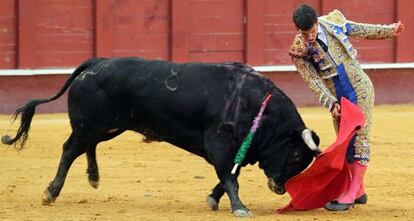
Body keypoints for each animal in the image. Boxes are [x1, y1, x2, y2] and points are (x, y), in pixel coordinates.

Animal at [1, 57, 322, 218]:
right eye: (296, 154)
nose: (279, 188)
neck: (258, 107)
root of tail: (96, 62)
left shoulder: (235, 150)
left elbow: (229, 175)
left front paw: (213, 199)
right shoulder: (221, 145)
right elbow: (231, 177)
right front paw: (240, 208)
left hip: (108, 127)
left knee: (86, 147)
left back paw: (93, 177)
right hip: (90, 124)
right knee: (70, 149)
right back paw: (51, 192)